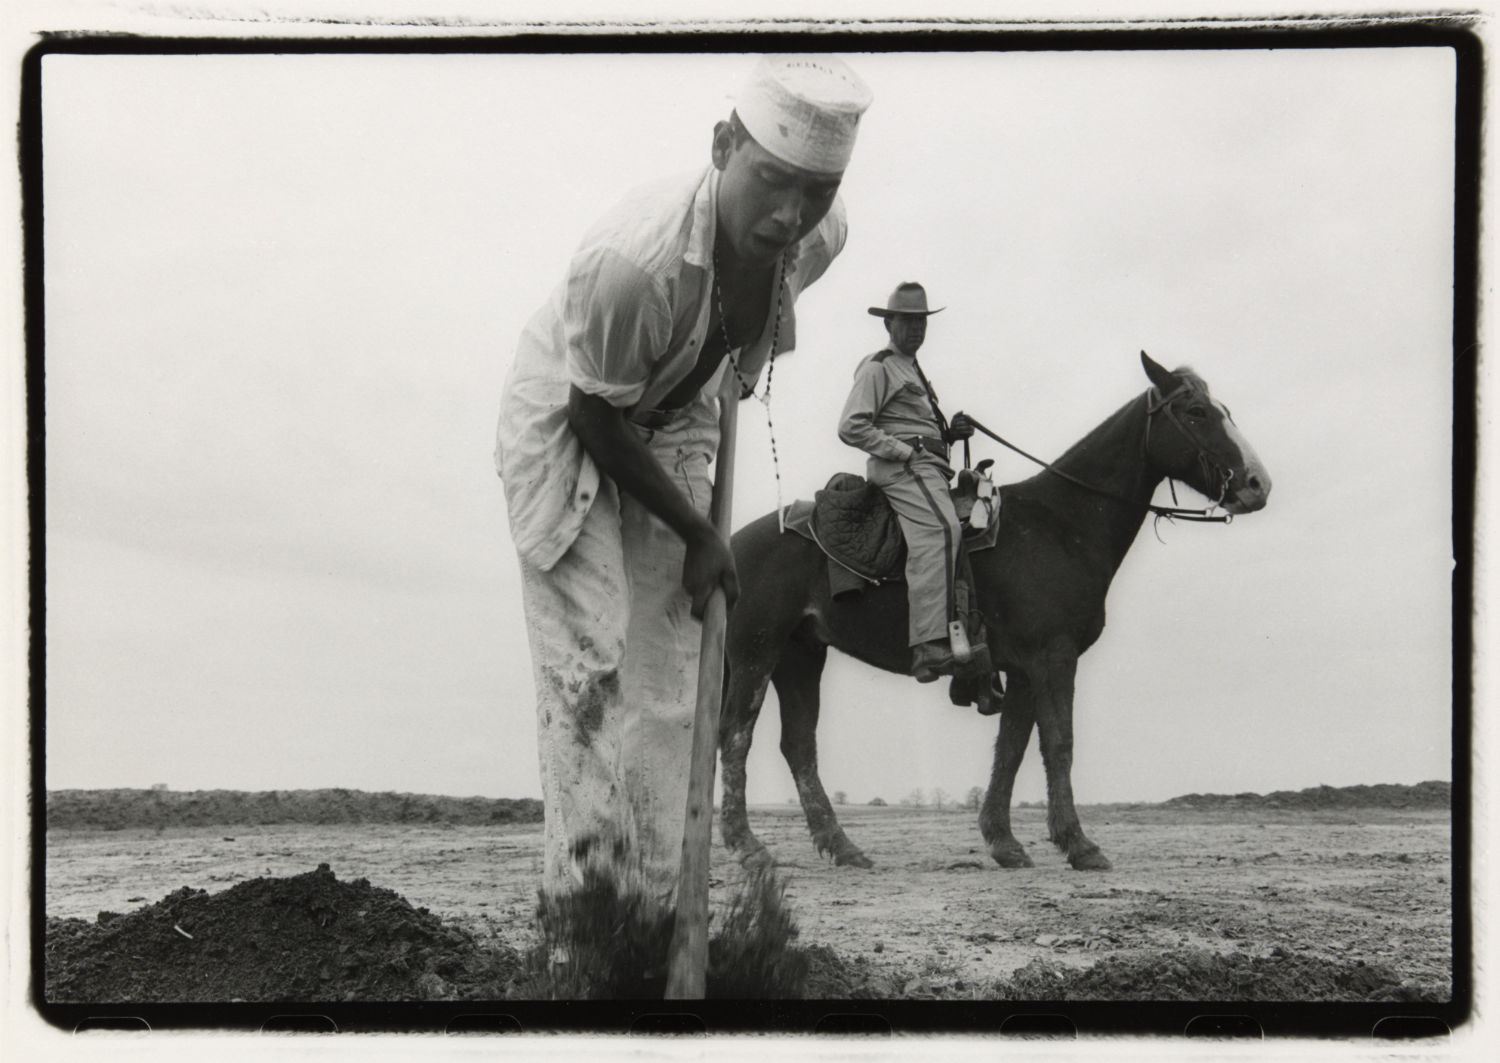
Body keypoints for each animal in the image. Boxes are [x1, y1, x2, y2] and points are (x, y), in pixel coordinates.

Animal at [714, 352, 1266, 869]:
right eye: (1195, 412)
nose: (1258, 483)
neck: (1062, 524)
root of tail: (730, 546)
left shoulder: (1022, 669)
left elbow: (1012, 748)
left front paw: (1004, 842)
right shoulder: (1053, 658)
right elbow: (1059, 744)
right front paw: (1079, 844)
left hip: (800, 657)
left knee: (798, 746)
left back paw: (842, 847)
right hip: (755, 653)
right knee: (736, 736)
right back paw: (747, 846)